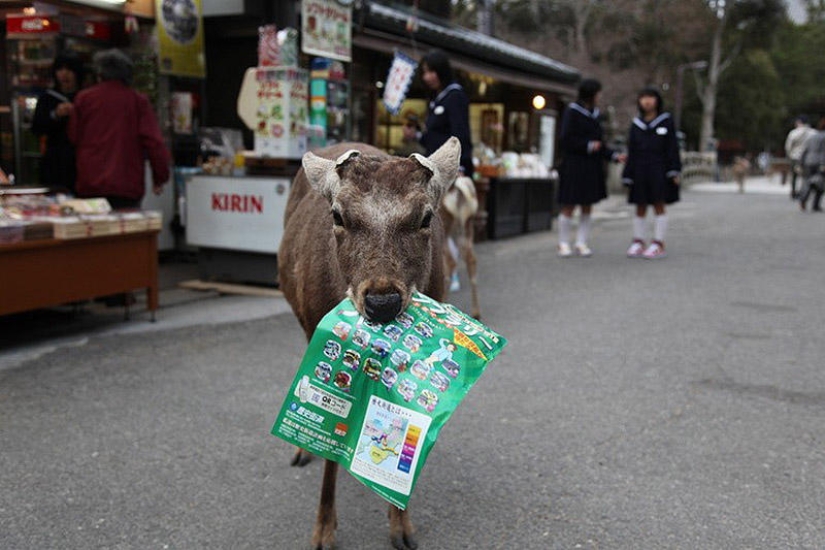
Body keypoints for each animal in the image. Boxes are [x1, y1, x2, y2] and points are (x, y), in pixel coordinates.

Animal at [276, 138, 458, 550]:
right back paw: (300, 449)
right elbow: (330, 431)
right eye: (338, 215)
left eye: (425, 218)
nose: (382, 301)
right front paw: (323, 530)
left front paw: (402, 525)